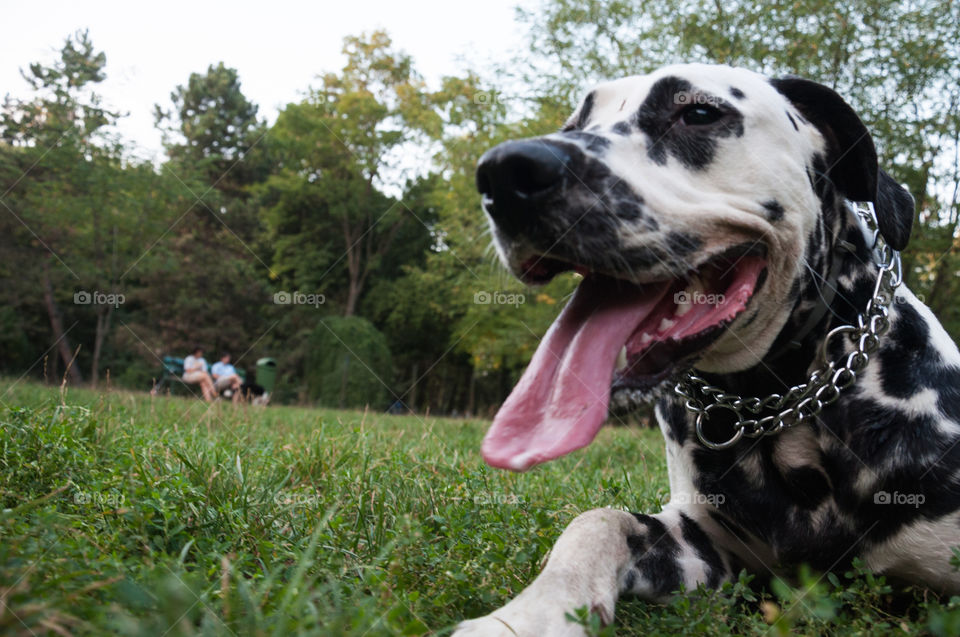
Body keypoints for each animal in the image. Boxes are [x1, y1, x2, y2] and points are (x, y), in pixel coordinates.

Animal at [454, 62, 960, 632]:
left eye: (697, 112)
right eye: (573, 124)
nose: (502, 173)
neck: (780, 404)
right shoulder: (700, 544)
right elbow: (598, 521)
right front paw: (529, 613)